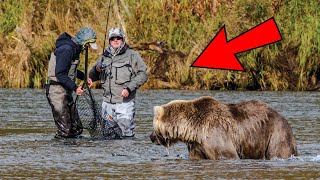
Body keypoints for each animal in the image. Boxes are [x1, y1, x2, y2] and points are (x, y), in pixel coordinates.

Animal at [150, 96, 298, 160]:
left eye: (154, 125)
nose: (151, 137)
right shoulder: (198, 146)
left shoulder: (215, 135)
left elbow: (227, 154)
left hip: (275, 134)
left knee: (278, 151)